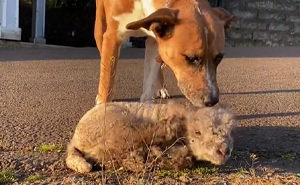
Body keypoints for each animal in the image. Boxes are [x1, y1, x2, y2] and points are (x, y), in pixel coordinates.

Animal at [95, 0, 236, 107]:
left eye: (219, 58)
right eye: (191, 58)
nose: (212, 101)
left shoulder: (155, 42)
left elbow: (149, 85)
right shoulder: (112, 37)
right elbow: (107, 78)